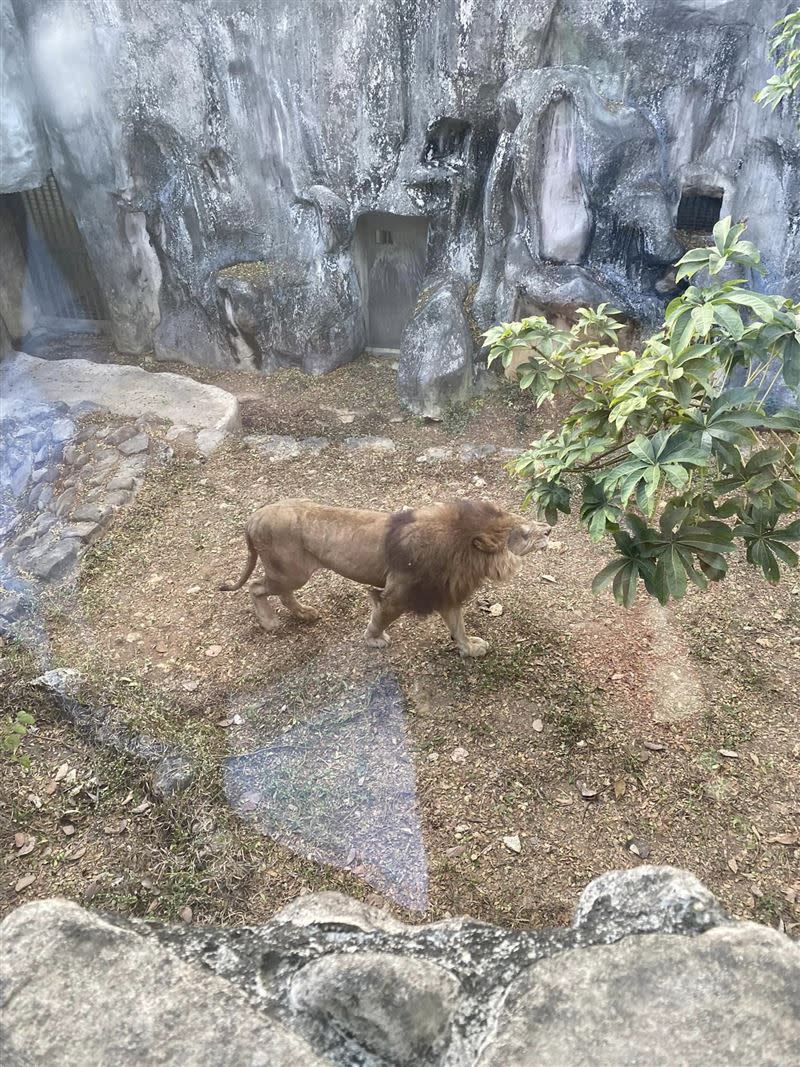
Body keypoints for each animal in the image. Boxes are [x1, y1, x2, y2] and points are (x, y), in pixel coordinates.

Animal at [219, 495, 550, 653]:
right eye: (523, 533)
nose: (548, 528)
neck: (461, 549)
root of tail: (254, 517)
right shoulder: (398, 594)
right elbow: (380, 616)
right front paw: (374, 640)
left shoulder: (444, 592)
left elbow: (458, 627)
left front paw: (469, 649)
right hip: (290, 571)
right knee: (256, 587)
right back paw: (269, 621)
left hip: (290, 572)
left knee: (281, 593)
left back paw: (305, 614)